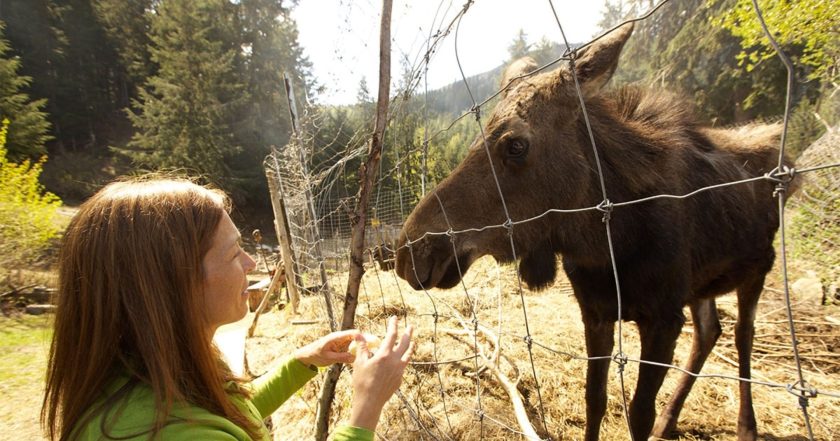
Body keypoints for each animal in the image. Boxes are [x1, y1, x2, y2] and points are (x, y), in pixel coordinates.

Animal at [394, 23, 796, 440]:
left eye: (516, 144)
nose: (411, 253)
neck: (608, 243)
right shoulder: (596, 312)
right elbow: (595, 399)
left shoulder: (664, 317)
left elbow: (638, 413)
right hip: (702, 284)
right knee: (709, 331)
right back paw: (670, 420)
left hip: (760, 265)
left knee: (742, 334)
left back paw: (745, 425)